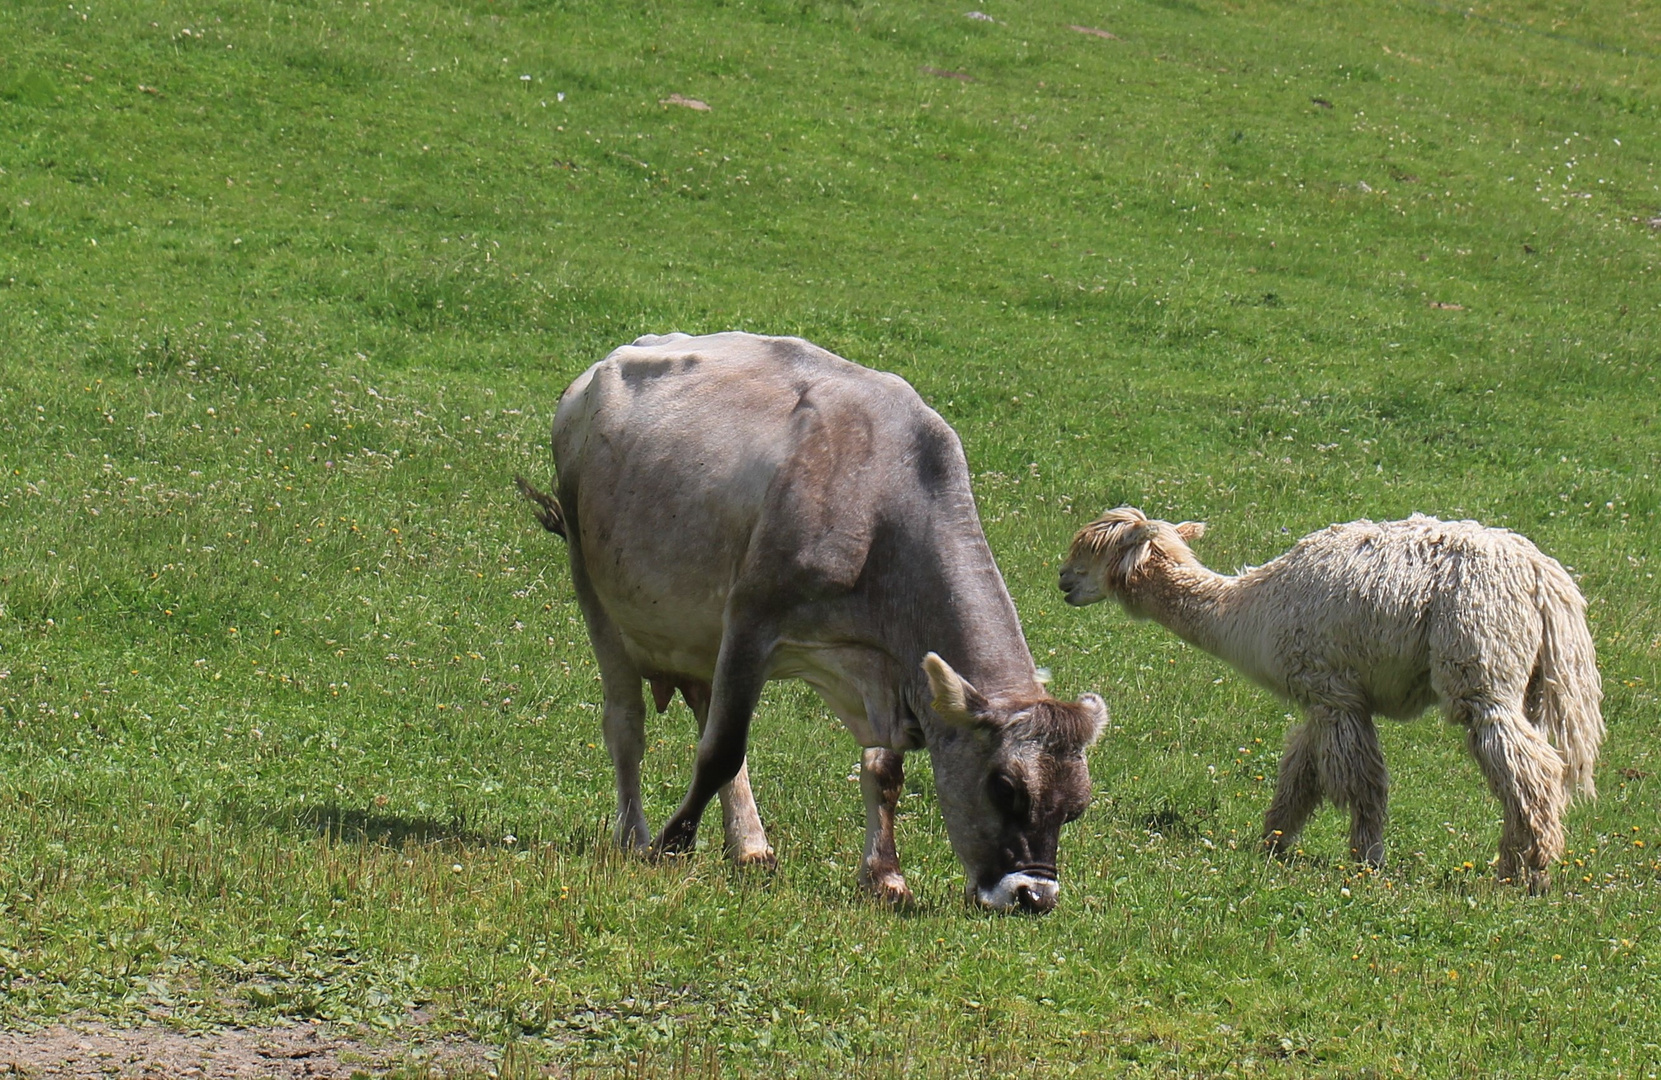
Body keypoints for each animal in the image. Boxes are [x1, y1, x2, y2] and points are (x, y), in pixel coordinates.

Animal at [521, 330, 1102, 910]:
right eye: (1004, 787)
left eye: (1077, 806)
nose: (1034, 896)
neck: (882, 503)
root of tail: (607, 362)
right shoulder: (751, 621)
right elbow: (721, 751)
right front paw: (672, 843)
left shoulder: (885, 665)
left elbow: (883, 770)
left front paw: (885, 876)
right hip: (593, 581)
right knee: (627, 722)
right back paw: (635, 836)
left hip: (700, 631)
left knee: (703, 711)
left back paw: (750, 845)